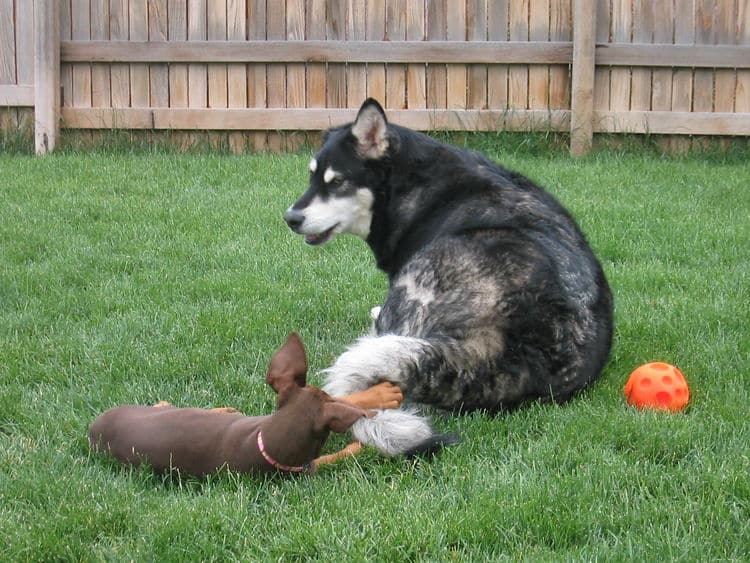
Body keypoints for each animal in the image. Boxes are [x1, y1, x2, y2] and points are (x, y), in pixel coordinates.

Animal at [90, 332, 378, 478]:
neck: (264, 442)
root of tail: (93, 429)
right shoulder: (306, 467)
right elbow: (333, 457)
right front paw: (356, 446)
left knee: (163, 403)